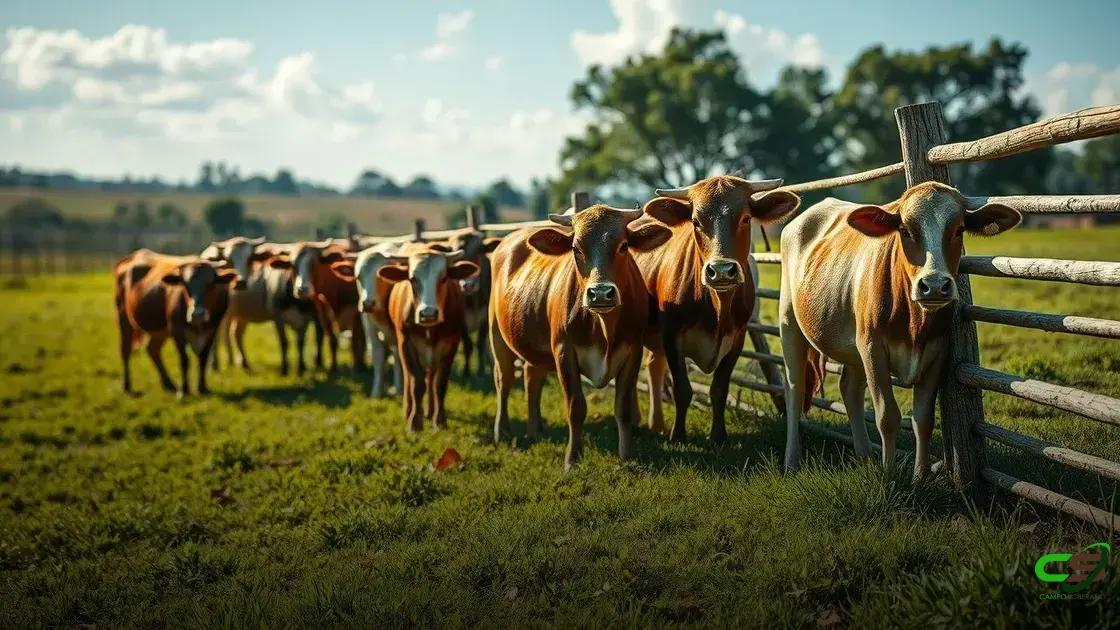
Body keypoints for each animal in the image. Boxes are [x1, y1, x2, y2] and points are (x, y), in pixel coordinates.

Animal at [114, 249, 238, 397]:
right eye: (185, 285)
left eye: (211, 284)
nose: (197, 314)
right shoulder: (176, 329)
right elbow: (184, 359)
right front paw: (184, 390)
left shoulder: (213, 328)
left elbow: (203, 357)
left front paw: (202, 388)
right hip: (123, 317)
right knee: (125, 350)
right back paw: (126, 385)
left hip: (160, 331)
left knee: (152, 349)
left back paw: (168, 384)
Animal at [378, 247, 478, 431]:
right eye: (412, 279)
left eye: (444, 278)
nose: (428, 313)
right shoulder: (406, 345)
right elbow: (416, 384)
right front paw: (414, 421)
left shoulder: (451, 345)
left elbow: (440, 384)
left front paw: (439, 420)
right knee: (409, 378)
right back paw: (409, 409)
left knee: (431, 378)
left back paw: (430, 411)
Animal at [489, 205, 673, 468]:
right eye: (576, 248)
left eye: (624, 245)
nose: (601, 293)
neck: (604, 328)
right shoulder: (564, 351)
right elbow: (576, 408)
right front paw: (572, 459)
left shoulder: (633, 351)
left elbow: (624, 409)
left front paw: (627, 456)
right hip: (497, 334)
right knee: (503, 381)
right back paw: (502, 431)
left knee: (531, 377)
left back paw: (534, 430)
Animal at [636, 176, 801, 444]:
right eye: (695, 221)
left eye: (746, 218)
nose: (721, 271)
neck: (717, 307)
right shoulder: (671, 335)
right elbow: (683, 389)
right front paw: (678, 435)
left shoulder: (736, 339)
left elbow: (719, 389)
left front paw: (718, 436)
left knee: (654, 366)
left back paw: (656, 423)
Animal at [779, 181, 1021, 477]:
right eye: (905, 230)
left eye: (959, 229)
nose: (935, 285)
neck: (914, 322)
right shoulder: (873, 348)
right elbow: (887, 415)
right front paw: (889, 472)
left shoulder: (937, 353)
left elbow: (923, 420)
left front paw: (920, 475)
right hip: (789, 322)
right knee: (794, 386)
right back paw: (792, 461)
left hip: (854, 349)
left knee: (849, 389)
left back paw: (864, 456)